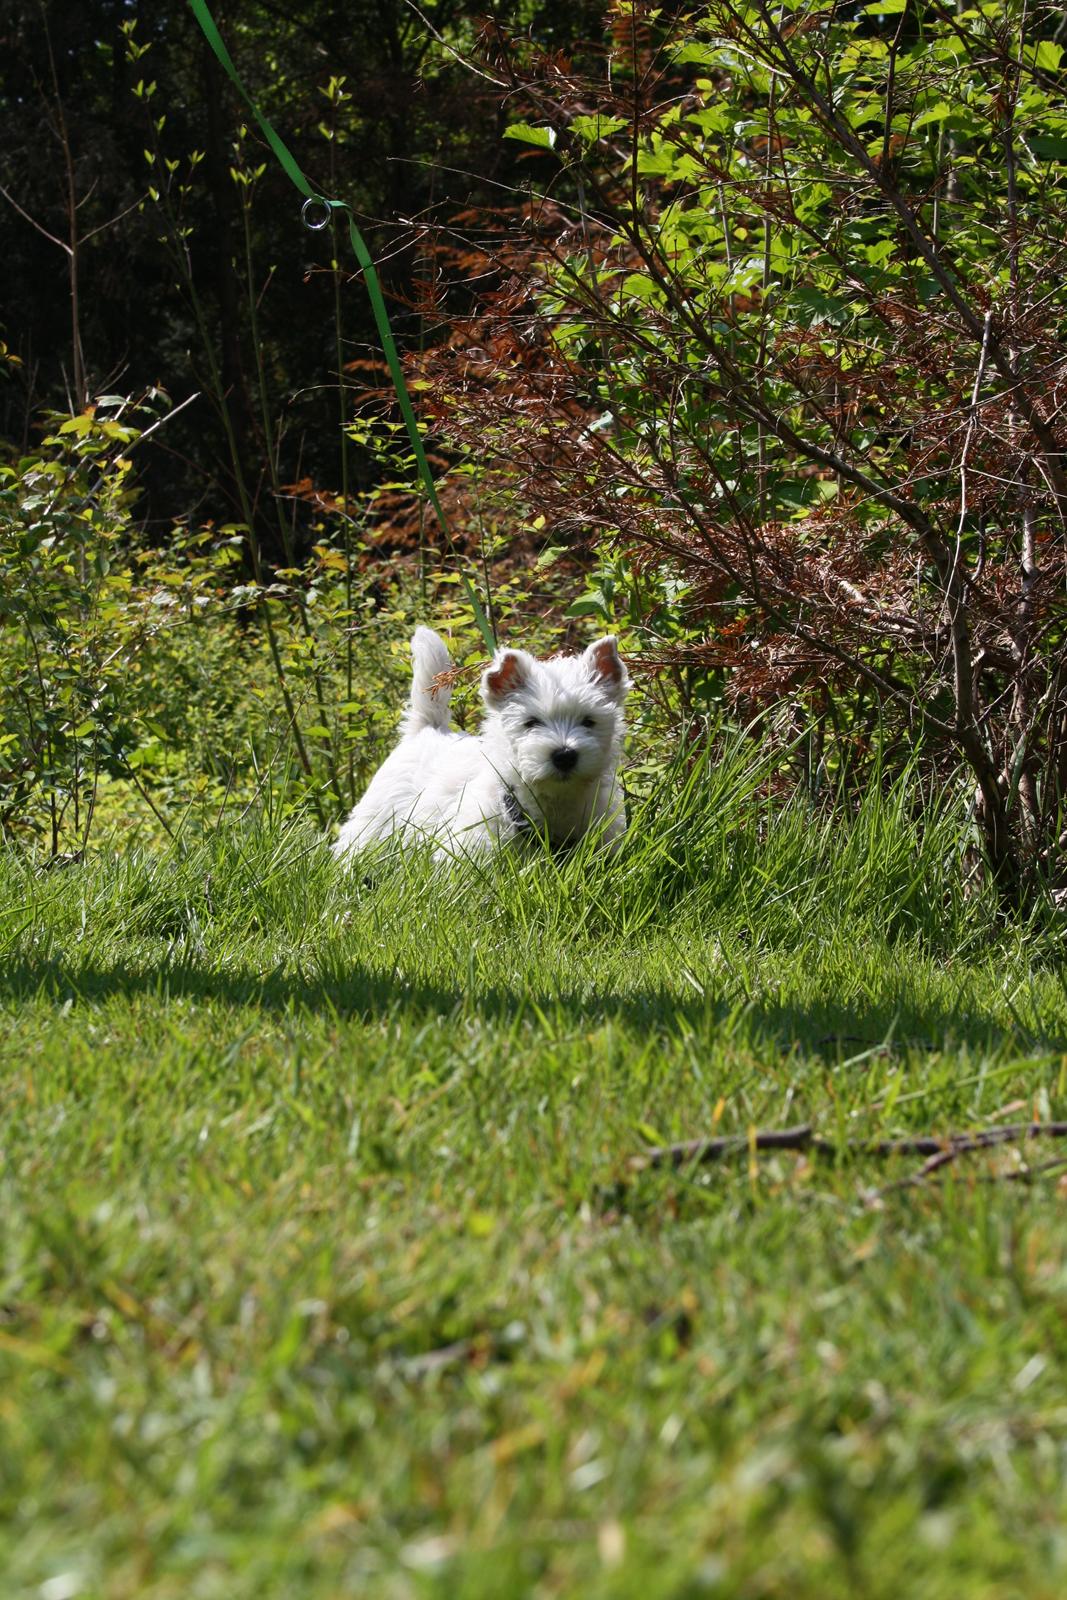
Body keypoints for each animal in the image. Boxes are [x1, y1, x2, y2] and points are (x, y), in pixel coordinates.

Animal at [334, 627, 630, 864]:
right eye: (531, 722)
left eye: (588, 721)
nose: (565, 755)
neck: (555, 800)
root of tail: (427, 728)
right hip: (375, 820)